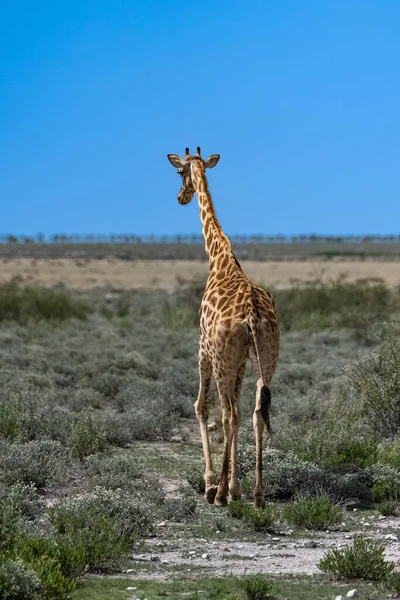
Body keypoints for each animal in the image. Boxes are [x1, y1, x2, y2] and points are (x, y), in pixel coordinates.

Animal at [166, 146, 278, 506]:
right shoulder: (242, 361)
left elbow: (201, 407)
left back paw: (221, 493)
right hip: (267, 357)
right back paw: (257, 493)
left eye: (179, 172)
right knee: (256, 411)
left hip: (221, 360)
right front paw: (233, 486)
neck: (218, 258)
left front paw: (213, 482)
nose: (180, 197)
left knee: (226, 413)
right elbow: (240, 412)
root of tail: (252, 315)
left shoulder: (204, 349)